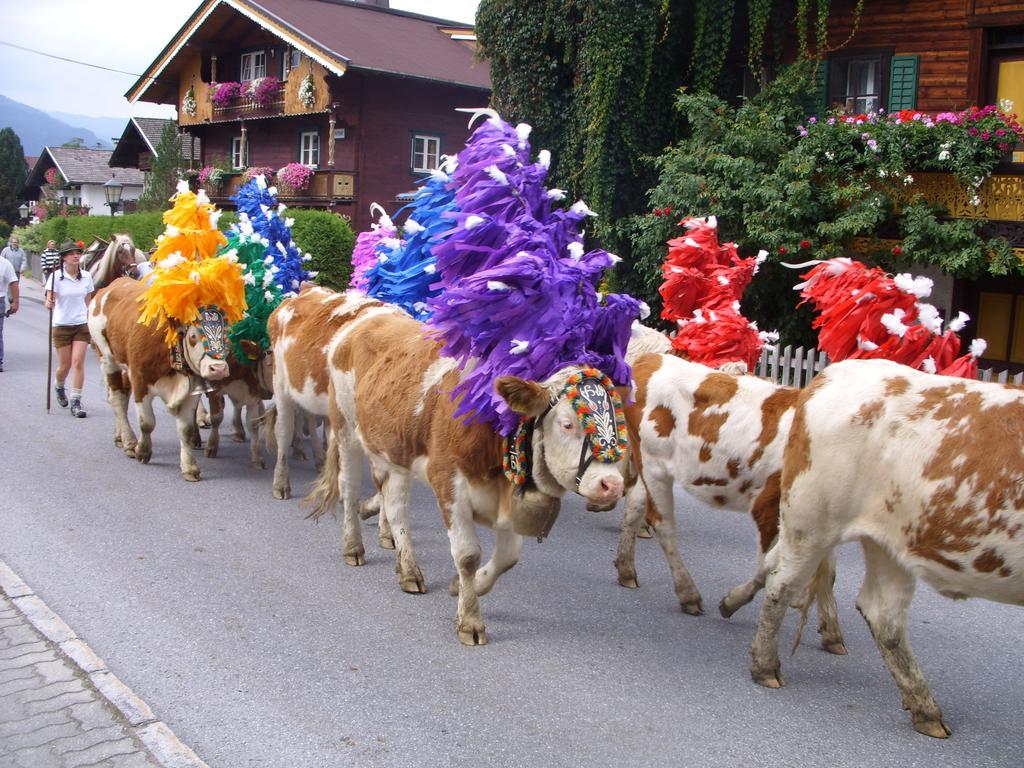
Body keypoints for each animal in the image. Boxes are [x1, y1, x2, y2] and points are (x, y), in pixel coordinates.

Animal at [87, 276, 234, 481]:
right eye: (193, 336)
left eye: (226, 334)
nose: (218, 368)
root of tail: (115, 282)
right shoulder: (140, 381)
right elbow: (147, 422)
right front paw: (142, 451)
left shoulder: (190, 390)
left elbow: (185, 429)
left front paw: (189, 467)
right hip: (107, 358)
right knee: (117, 398)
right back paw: (129, 441)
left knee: (121, 396)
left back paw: (119, 436)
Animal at [299, 290, 626, 647]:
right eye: (567, 424)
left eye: (617, 419)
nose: (611, 484)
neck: (493, 430)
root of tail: (363, 312)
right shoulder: (449, 484)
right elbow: (468, 554)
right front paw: (470, 620)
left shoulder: (506, 497)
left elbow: (508, 556)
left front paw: (465, 586)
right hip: (344, 427)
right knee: (350, 488)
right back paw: (354, 547)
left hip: (393, 449)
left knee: (396, 506)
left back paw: (407, 569)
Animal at [610, 354, 843, 655]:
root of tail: (652, 358)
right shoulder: (769, 508)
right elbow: (768, 566)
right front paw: (735, 601)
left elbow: (827, 570)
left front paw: (832, 631)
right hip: (654, 464)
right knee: (662, 524)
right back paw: (688, 594)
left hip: (649, 467)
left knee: (635, 505)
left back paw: (626, 569)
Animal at [749, 360, 1024, 741]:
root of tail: (833, 374)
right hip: (811, 522)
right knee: (781, 585)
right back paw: (765, 665)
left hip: (890, 544)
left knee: (883, 616)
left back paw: (925, 709)